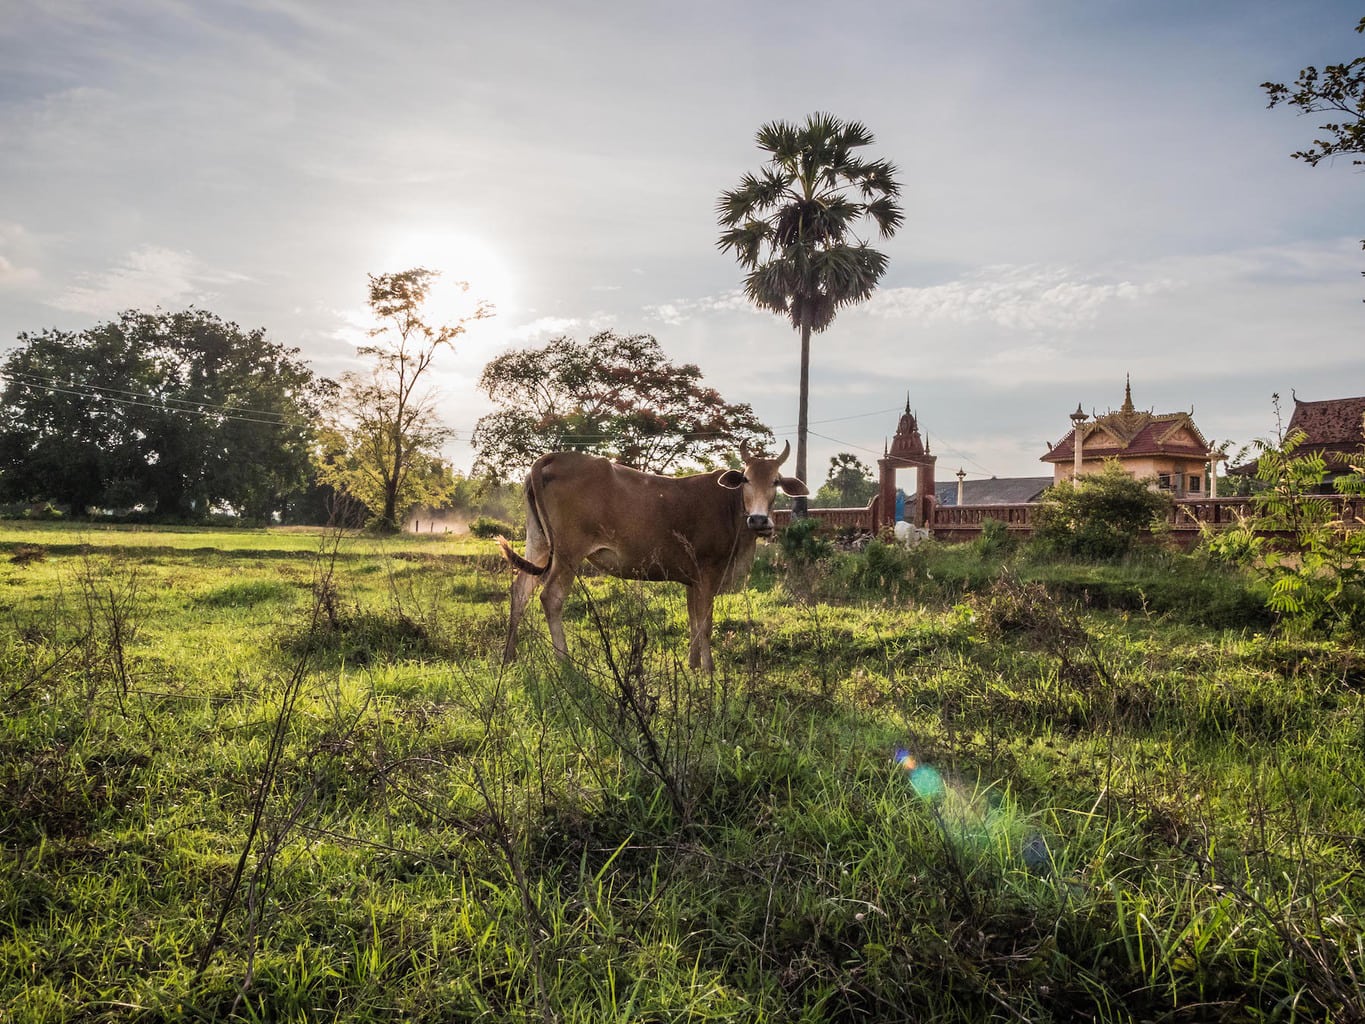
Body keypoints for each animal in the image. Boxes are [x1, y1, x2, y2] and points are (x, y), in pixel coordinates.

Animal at [496, 442, 802, 674]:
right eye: (746, 479)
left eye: (775, 481)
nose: (759, 520)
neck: (730, 505)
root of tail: (554, 457)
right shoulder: (708, 573)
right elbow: (705, 624)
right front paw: (709, 669)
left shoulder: (692, 580)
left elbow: (693, 620)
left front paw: (693, 665)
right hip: (568, 553)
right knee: (551, 597)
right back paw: (565, 663)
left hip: (538, 543)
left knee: (520, 591)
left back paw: (509, 657)